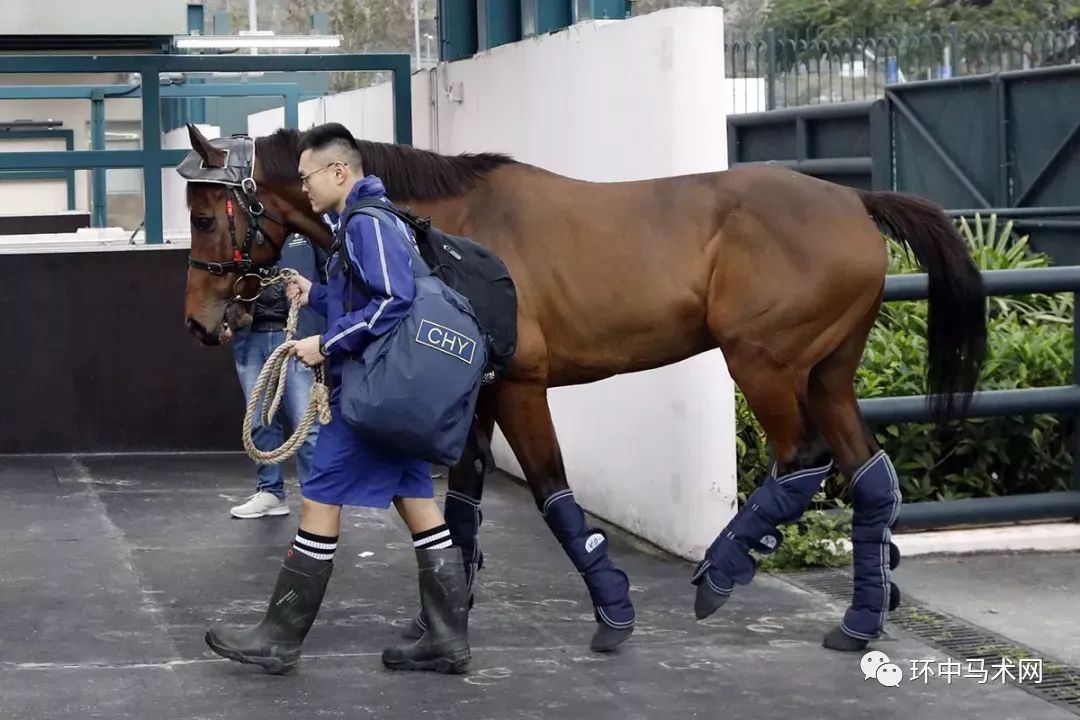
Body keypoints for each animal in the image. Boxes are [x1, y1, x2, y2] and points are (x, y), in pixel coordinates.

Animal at [179, 122, 989, 651]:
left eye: (207, 215)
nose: (200, 322)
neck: (436, 229)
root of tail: (853, 202)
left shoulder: (520, 387)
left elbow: (551, 493)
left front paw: (613, 610)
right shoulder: (479, 394)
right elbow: (461, 503)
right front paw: (442, 616)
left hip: (764, 364)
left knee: (803, 459)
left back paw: (721, 572)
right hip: (828, 373)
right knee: (870, 475)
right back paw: (860, 619)